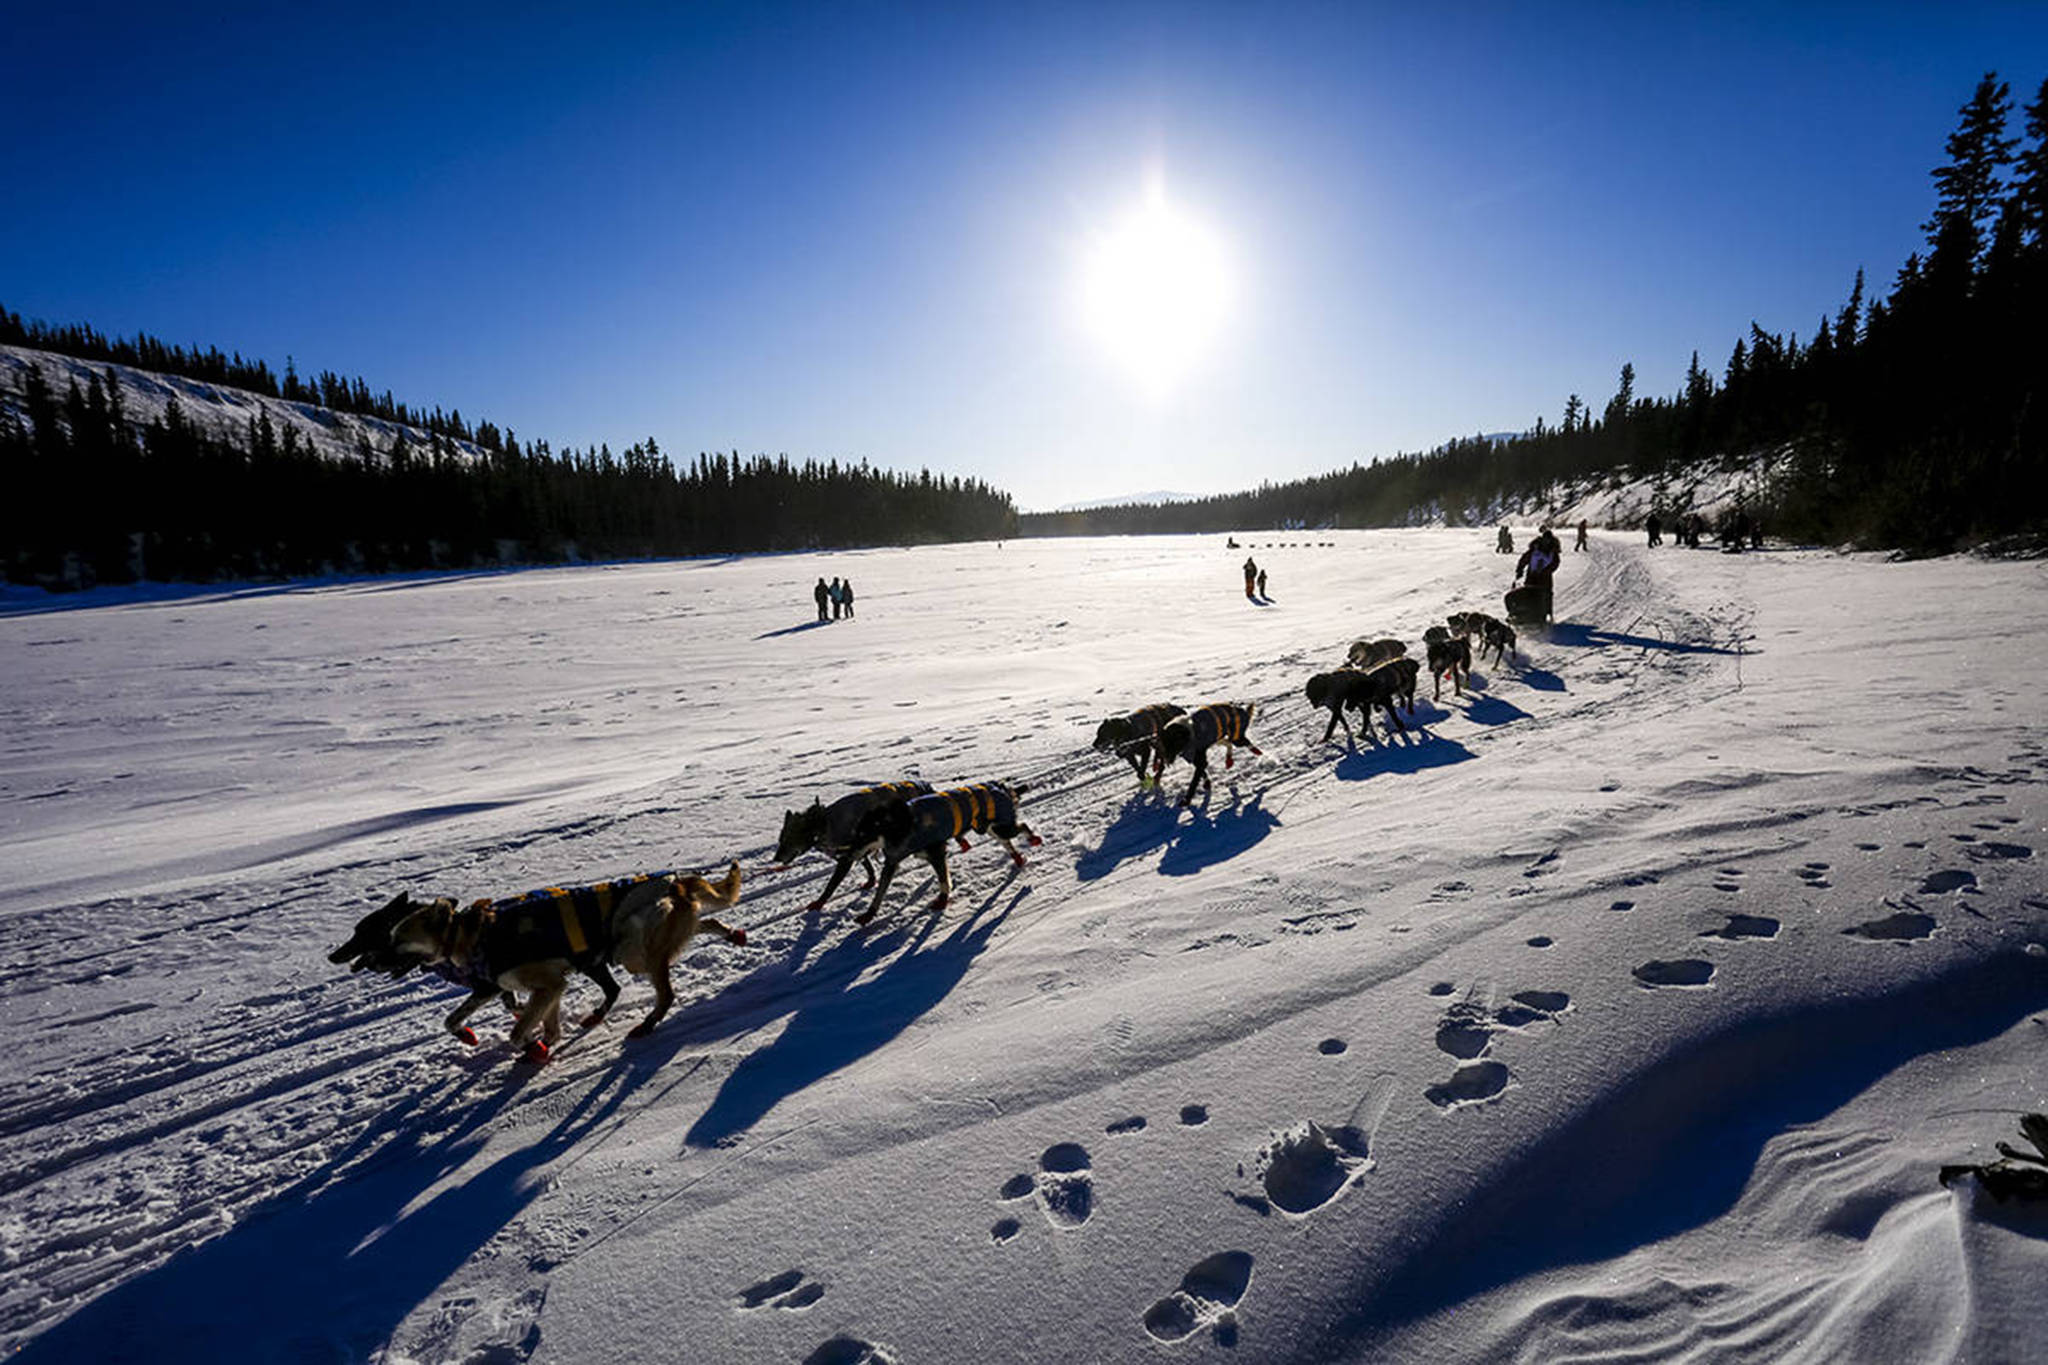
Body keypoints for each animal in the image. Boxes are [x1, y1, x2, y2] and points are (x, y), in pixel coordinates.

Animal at [774, 785, 937, 912]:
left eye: (788, 841)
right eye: (780, 840)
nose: (775, 858)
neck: (823, 824)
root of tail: (926, 788)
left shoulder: (846, 859)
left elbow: (831, 886)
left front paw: (819, 903)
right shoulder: (857, 851)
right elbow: (868, 867)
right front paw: (871, 881)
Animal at [851, 785, 1040, 925]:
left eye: (863, 835)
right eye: (856, 834)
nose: (850, 854)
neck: (900, 826)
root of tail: (1002, 789)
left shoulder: (936, 854)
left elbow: (943, 880)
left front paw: (942, 900)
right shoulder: (893, 861)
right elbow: (880, 891)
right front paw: (869, 914)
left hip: (1001, 827)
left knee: (1022, 826)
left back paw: (1033, 838)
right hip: (990, 828)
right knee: (1007, 842)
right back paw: (1018, 858)